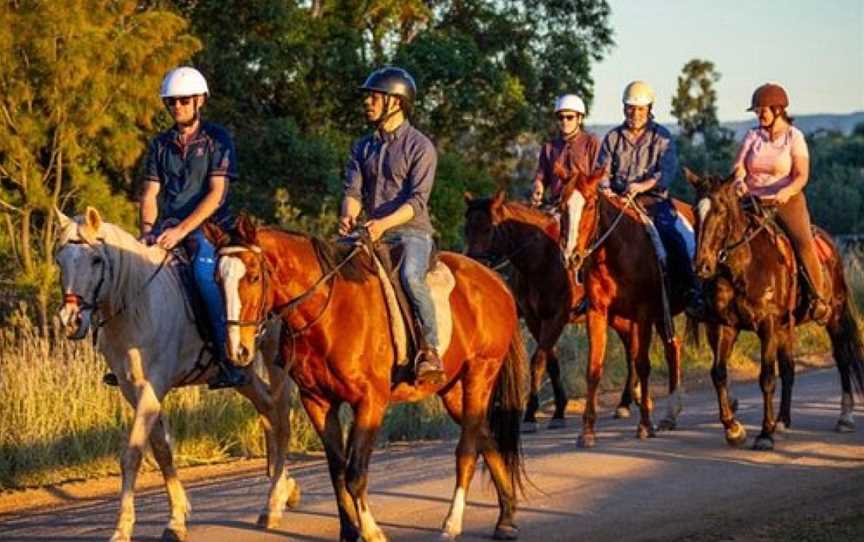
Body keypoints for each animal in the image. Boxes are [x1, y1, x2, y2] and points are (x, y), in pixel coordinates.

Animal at [56, 206, 300, 540]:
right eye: (59, 260)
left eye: (96, 260)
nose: (71, 320)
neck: (137, 305)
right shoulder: (133, 390)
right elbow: (162, 450)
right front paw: (177, 518)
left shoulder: (152, 387)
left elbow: (132, 454)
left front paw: (122, 527)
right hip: (243, 367)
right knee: (268, 410)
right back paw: (285, 489)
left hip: (273, 356)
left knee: (281, 417)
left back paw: (274, 503)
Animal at [213, 220, 528, 542]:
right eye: (216, 279)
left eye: (253, 277)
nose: (238, 350)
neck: (331, 312)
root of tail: (495, 281)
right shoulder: (317, 401)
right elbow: (338, 472)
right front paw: (349, 531)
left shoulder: (370, 401)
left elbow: (355, 473)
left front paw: (371, 531)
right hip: (451, 389)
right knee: (486, 438)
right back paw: (506, 519)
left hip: (480, 373)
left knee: (467, 448)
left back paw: (452, 523)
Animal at [466, 191, 588, 434]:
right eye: (467, 228)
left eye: (488, 228)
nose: (475, 263)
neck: (542, 260)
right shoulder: (535, 319)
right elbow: (550, 361)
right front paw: (559, 410)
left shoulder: (556, 317)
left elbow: (538, 361)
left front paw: (531, 414)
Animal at [564, 172, 692, 448]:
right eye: (562, 205)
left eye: (590, 205)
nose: (571, 257)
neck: (617, 251)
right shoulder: (598, 312)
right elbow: (594, 368)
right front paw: (587, 432)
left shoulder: (643, 313)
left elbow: (642, 364)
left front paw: (644, 424)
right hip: (655, 315)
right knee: (672, 348)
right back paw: (669, 415)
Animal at [680, 172, 864, 452]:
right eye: (693, 209)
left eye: (721, 211)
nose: (702, 265)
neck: (743, 266)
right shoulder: (725, 326)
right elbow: (719, 374)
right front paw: (734, 429)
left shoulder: (767, 325)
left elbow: (766, 377)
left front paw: (765, 434)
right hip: (786, 326)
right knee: (788, 368)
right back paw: (783, 420)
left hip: (833, 317)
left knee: (842, 358)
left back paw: (845, 417)